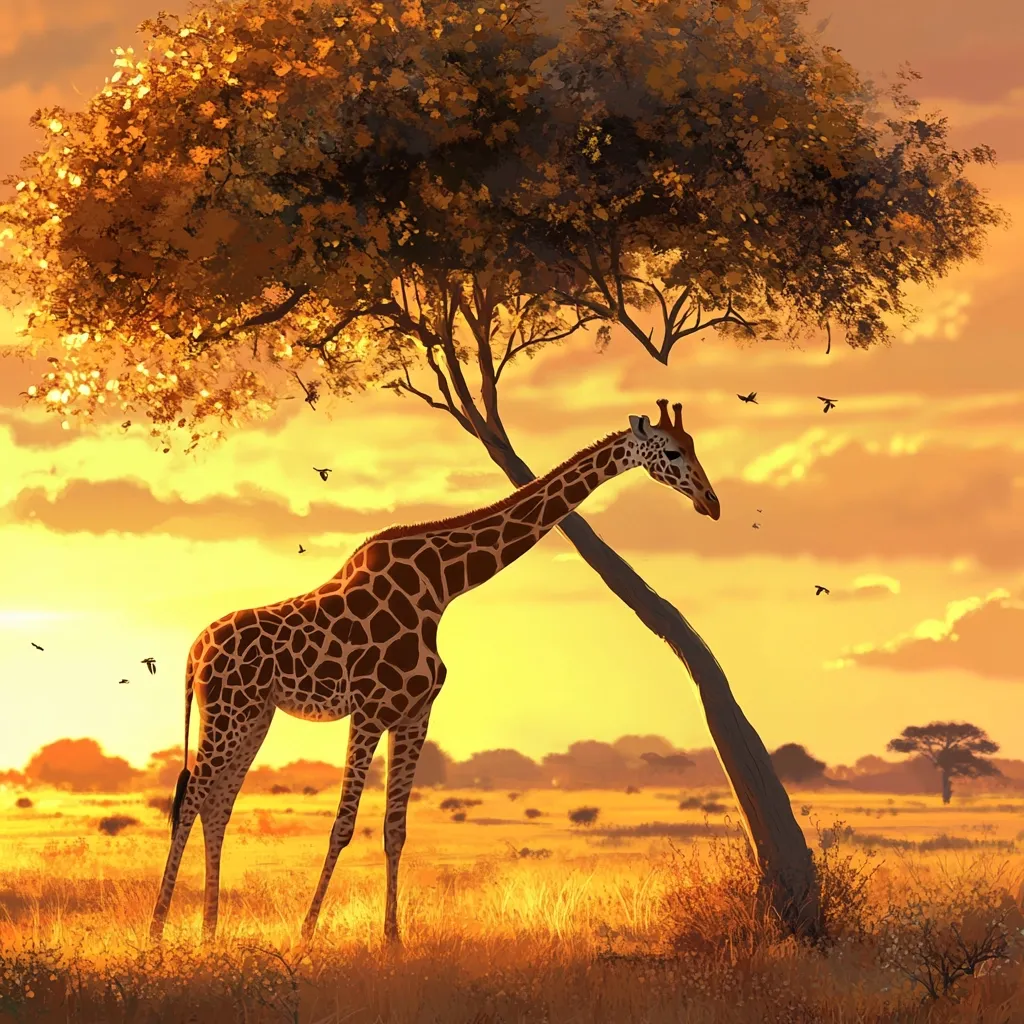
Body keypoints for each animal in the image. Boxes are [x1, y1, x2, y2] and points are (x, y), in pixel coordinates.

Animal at [148, 398, 720, 947]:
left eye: (695, 445)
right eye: (672, 452)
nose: (711, 504)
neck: (441, 586)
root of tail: (194, 652)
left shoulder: (415, 713)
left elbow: (395, 828)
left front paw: (393, 939)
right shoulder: (370, 710)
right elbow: (343, 825)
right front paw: (306, 934)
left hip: (253, 716)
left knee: (218, 803)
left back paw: (209, 932)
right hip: (229, 712)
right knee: (193, 798)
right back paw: (158, 932)